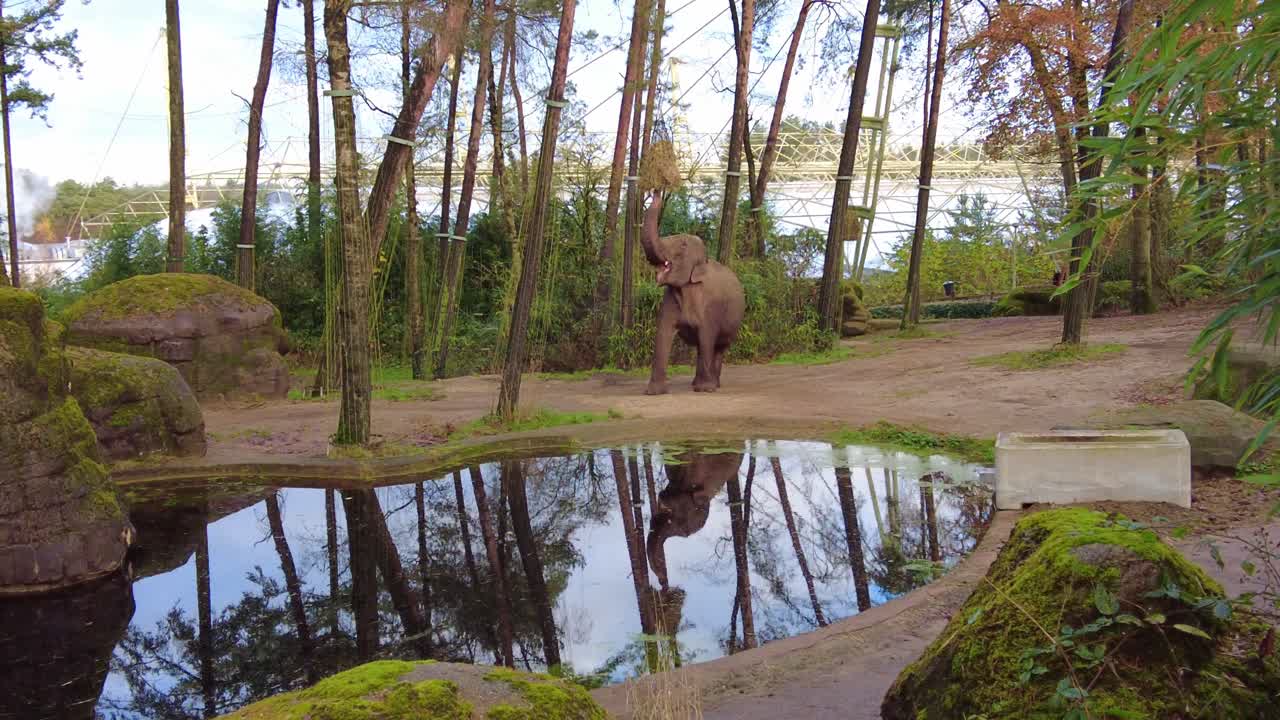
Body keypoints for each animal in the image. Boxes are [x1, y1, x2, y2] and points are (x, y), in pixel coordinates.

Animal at [639, 191, 746, 395]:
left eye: (682, 245)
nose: (655, 191)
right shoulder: (670, 300)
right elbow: (663, 334)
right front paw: (654, 392)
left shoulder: (711, 308)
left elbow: (706, 337)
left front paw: (705, 389)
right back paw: (698, 383)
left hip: (732, 325)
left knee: (718, 347)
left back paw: (712, 385)